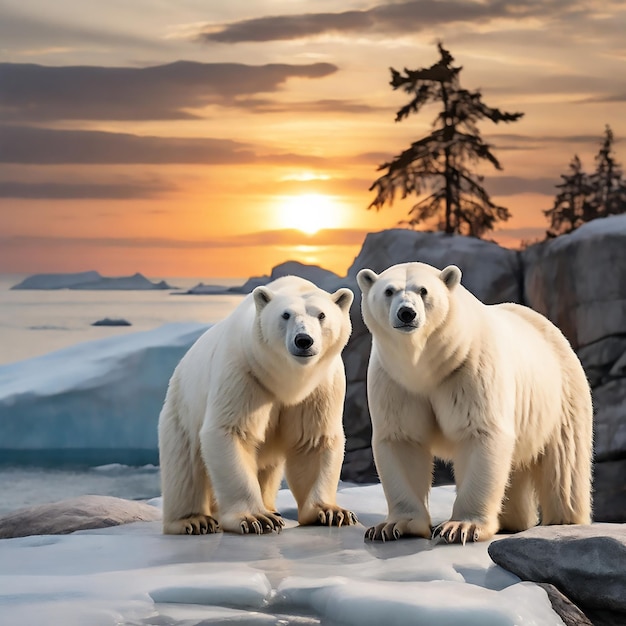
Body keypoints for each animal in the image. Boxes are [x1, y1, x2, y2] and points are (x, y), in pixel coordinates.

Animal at [158, 276, 358, 532]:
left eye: (321, 315)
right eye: (285, 315)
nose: (304, 340)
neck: (286, 380)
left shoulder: (321, 386)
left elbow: (313, 440)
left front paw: (331, 512)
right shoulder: (244, 372)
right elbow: (232, 431)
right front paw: (256, 518)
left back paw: (271, 507)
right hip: (182, 411)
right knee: (185, 468)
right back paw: (194, 520)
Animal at [356, 260, 588, 544]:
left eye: (423, 290)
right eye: (389, 291)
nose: (407, 313)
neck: (427, 365)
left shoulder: (470, 368)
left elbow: (480, 433)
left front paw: (461, 527)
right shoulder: (395, 382)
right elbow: (402, 440)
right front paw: (393, 526)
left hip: (561, 396)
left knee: (565, 466)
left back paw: (564, 521)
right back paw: (512, 522)